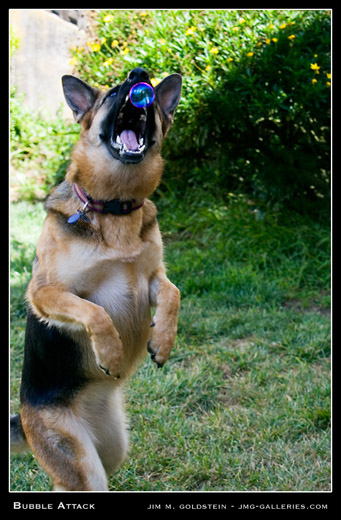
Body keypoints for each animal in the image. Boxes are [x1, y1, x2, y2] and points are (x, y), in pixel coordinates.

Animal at [9, 67, 181, 490]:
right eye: (115, 92)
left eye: (147, 92)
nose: (139, 75)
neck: (115, 207)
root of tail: (24, 418)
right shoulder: (46, 293)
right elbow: (94, 313)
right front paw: (112, 353)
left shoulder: (152, 278)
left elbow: (173, 294)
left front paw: (162, 341)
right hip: (82, 465)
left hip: (113, 450)